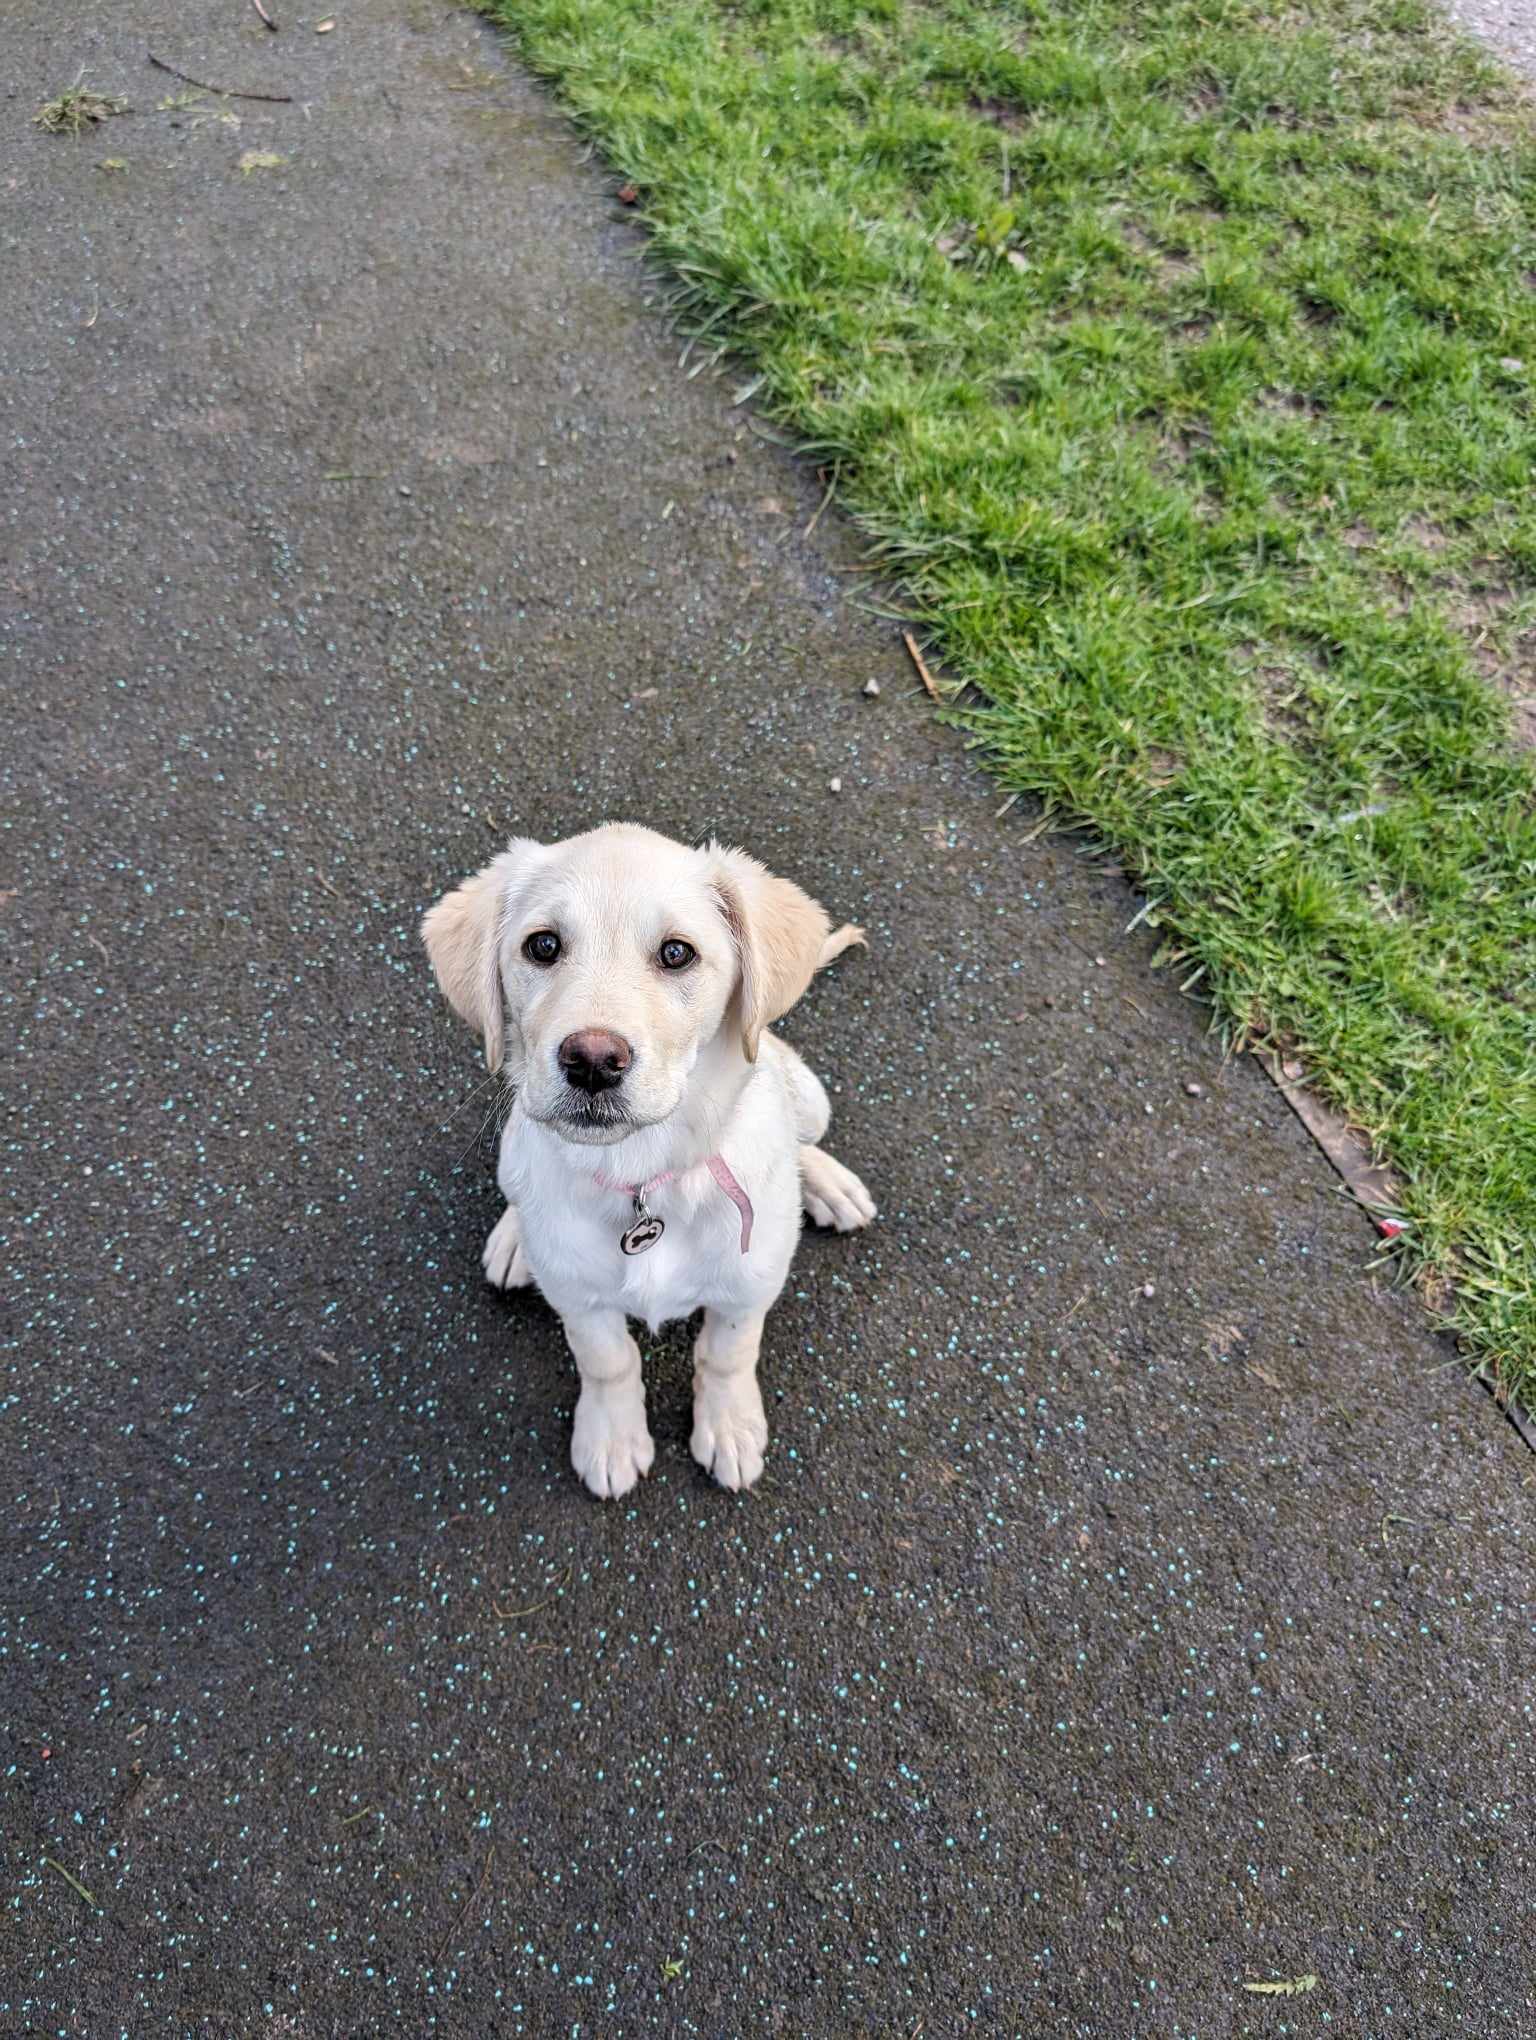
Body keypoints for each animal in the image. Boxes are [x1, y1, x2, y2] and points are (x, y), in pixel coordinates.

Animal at [420, 816, 873, 1501]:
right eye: (543, 946)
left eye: (677, 953)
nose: (592, 1060)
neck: (643, 1173)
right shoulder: (581, 1300)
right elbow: (608, 1360)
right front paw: (611, 1438)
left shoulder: (749, 1284)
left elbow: (727, 1353)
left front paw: (729, 1426)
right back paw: (514, 1240)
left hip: (808, 1094)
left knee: (803, 1137)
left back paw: (826, 1185)